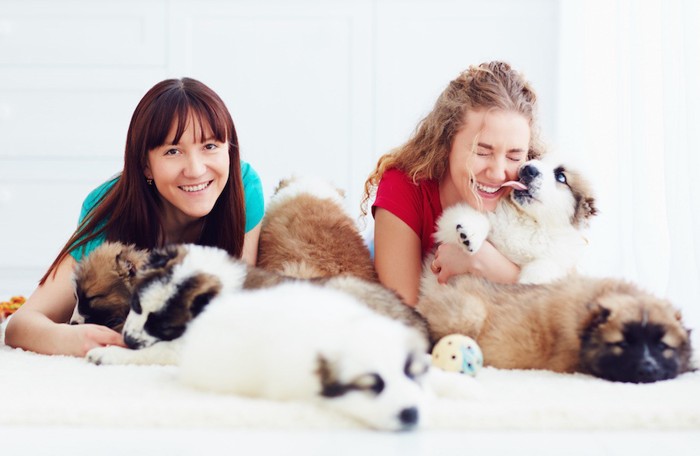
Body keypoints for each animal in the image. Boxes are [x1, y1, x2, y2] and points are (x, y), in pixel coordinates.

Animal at [438, 159, 596, 284]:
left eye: (561, 177)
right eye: (539, 159)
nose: (528, 169)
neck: (529, 221)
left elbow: (550, 266)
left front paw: (530, 280)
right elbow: (479, 219)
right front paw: (471, 233)